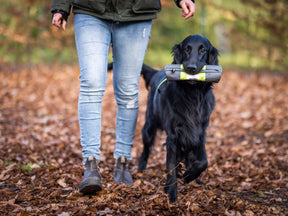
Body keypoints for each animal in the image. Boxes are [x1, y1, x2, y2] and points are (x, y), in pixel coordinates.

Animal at [138, 34, 219, 202]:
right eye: (186, 49)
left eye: (203, 50)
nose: (191, 68)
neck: (192, 95)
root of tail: (157, 72)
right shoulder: (173, 135)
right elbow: (170, 167)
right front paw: (171, 193)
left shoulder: (199, 132)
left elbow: (204, 161)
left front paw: (190, 176)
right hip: (150, 125)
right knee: (146, 148)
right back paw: (140, 169)